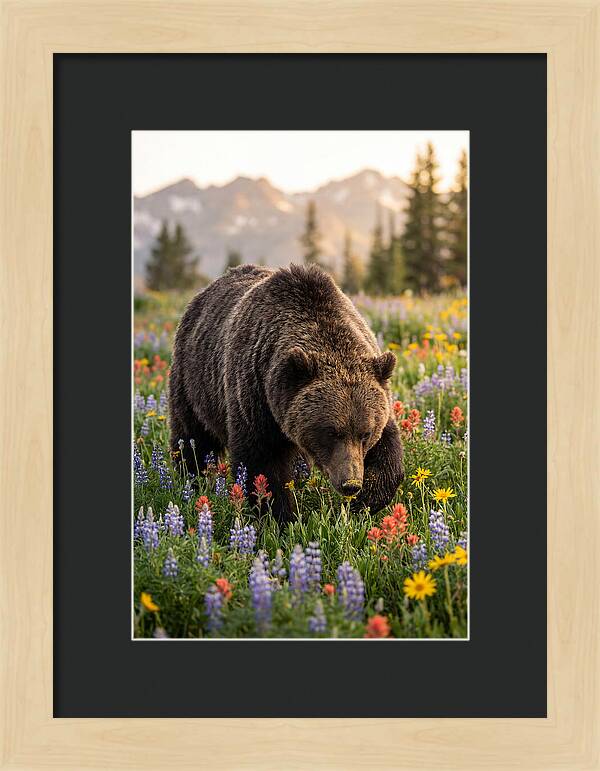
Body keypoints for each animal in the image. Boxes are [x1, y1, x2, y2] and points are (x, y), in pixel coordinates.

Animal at [169, 263, 404, 521]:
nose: (350, 483)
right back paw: (191, 479)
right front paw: (280, 516)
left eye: (365, 433)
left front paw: (367, 499)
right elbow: (262, 463)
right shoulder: (255, 396)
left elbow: (388, 449)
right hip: (194, 382)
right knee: (192, 436)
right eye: (331, 432)